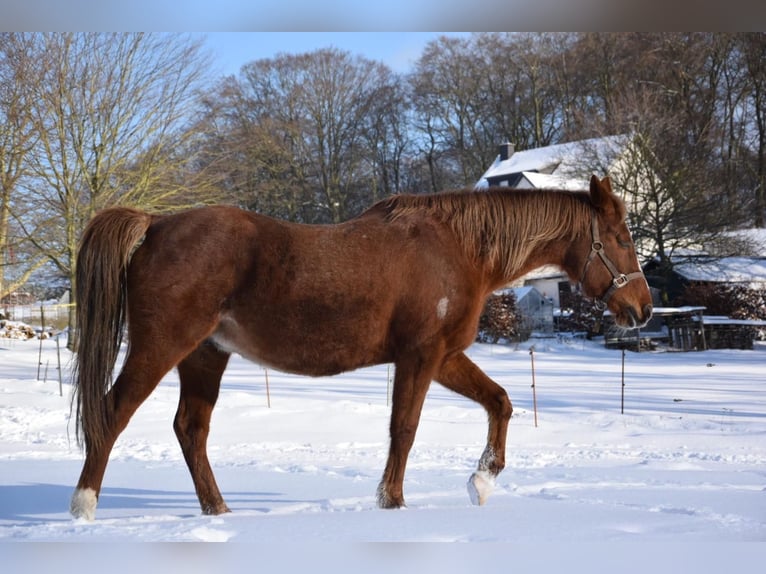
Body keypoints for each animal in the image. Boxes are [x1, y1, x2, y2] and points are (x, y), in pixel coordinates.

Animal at [69, 176, 652, 520]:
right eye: (622, 238)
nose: (643, 308)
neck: (456, 249)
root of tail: (156, 224)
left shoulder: (444, 357)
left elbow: (501, 401)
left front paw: (482, 482)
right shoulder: (421, 356)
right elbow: (405, 429)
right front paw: (392, 501)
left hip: (205, 356)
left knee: (191, 429)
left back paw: (220, 511)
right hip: (161, 347)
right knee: (112, 413)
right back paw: (84, 507)